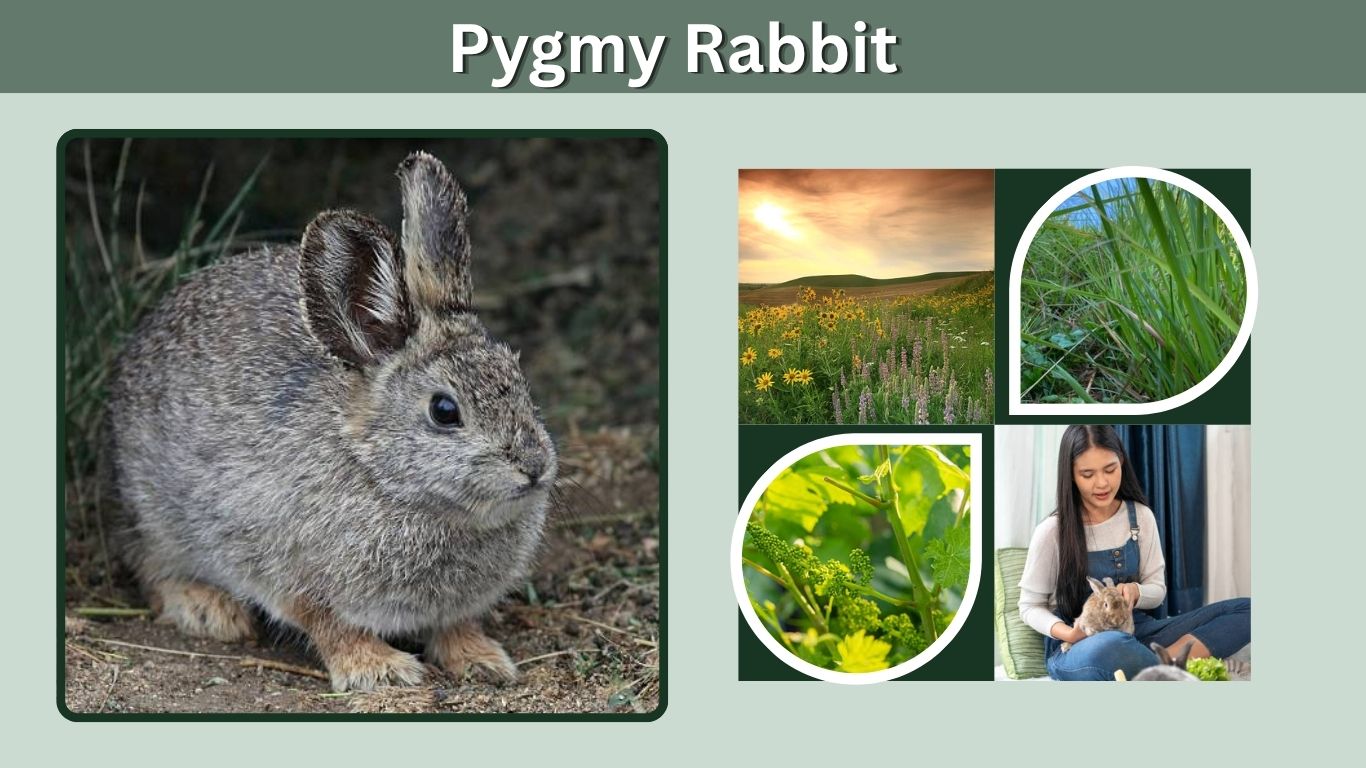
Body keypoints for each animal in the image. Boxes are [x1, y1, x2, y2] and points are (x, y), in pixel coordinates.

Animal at [106, 152, 558, 693]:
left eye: (519, 377)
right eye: (445, 411)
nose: (534, 466)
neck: (381, 477)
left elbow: (455, 625)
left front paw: (482, 660)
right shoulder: (291, 574)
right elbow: (331, 626)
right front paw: (379, 669)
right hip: (154, 514)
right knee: (150, 566)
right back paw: (209, 610)